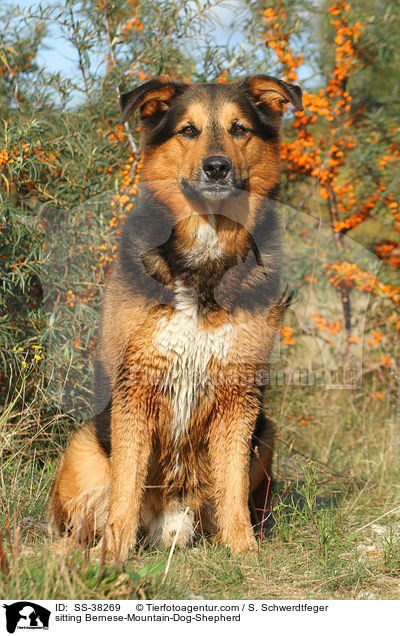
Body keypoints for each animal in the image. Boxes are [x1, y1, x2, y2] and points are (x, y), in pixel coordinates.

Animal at [48, 74, 302, 556]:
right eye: (188, 130)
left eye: (239, 129)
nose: (217, 168)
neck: (206, 249)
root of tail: (168, 521)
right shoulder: (136, 384)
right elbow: (126, 486)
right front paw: (114, 555)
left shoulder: (239, 394)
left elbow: (231, 487)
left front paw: (244, 552)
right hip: (82, 449)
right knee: (81, 520)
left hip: (265, 436)